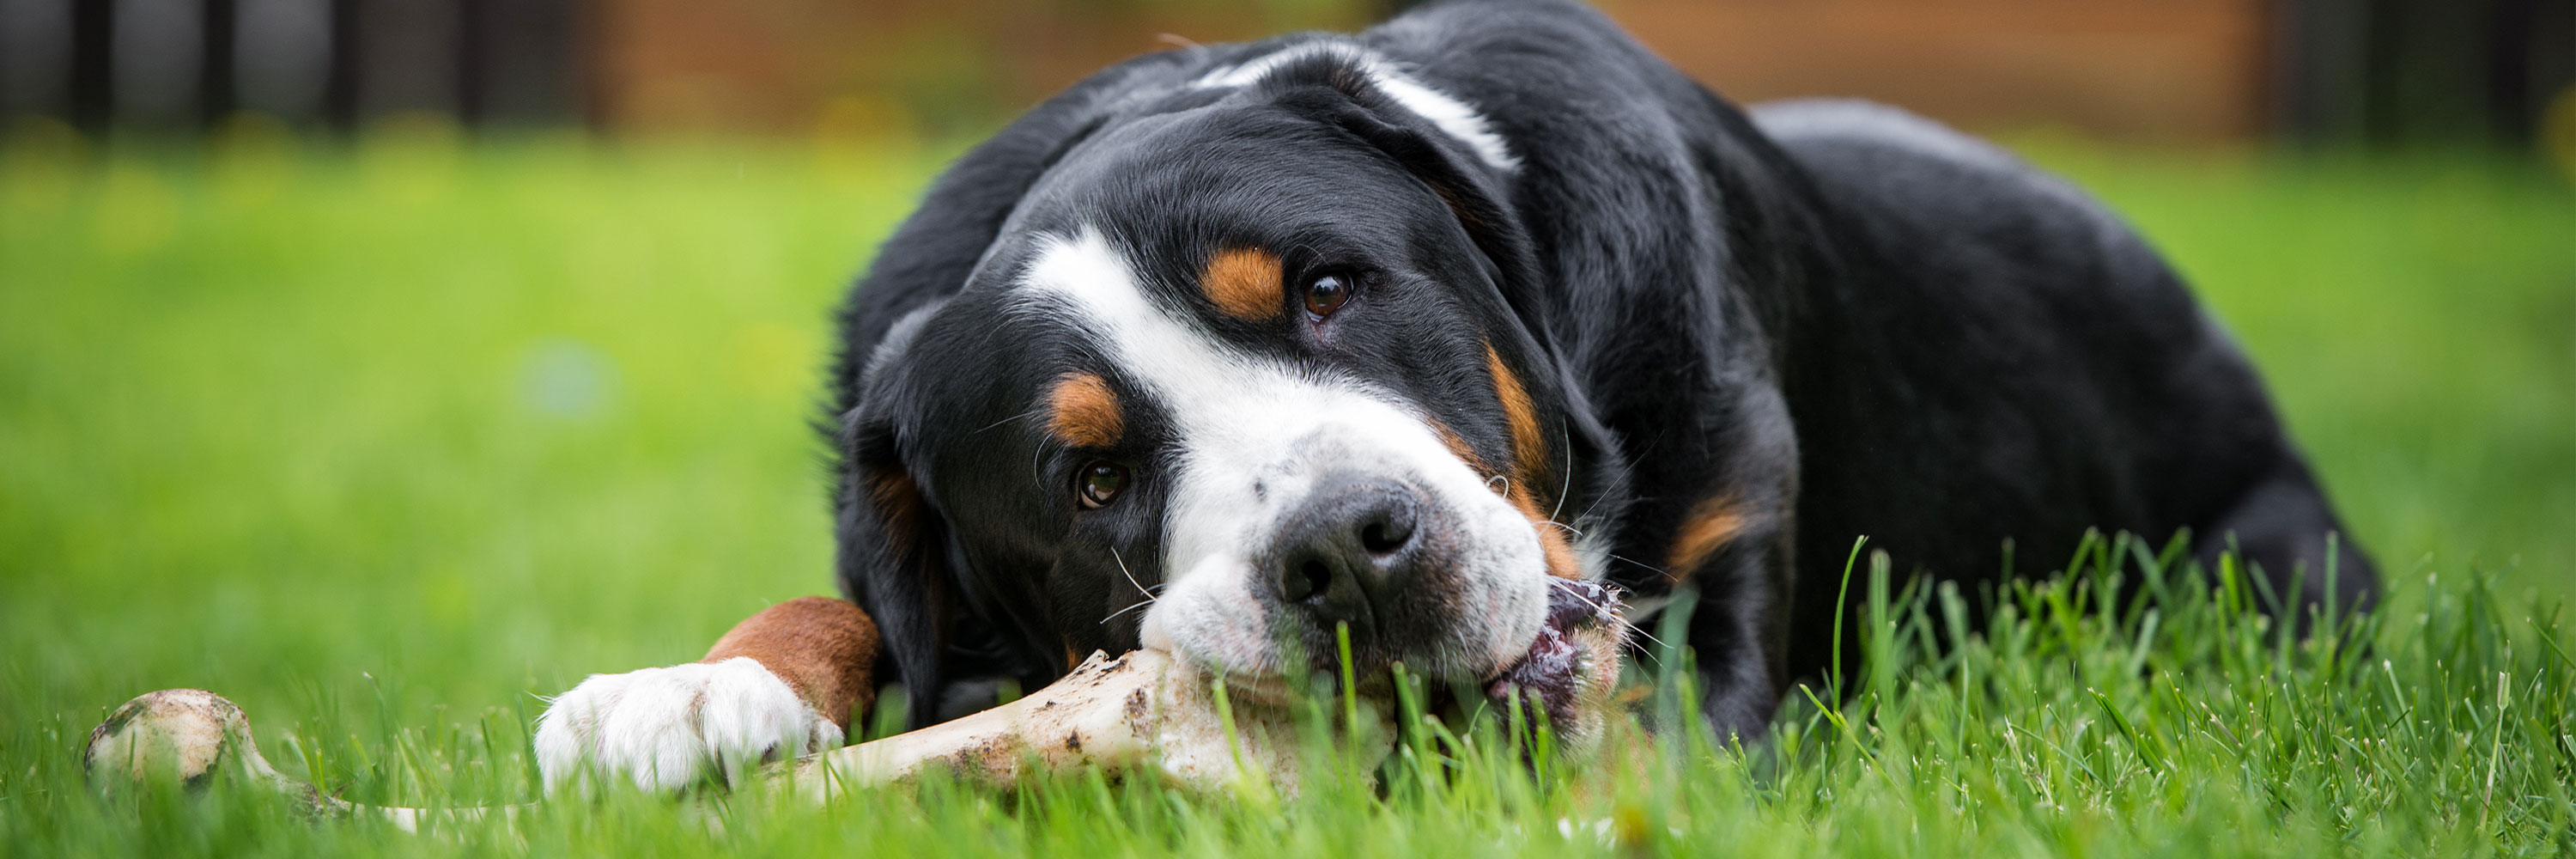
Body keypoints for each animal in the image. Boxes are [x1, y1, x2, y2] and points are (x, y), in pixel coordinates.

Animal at [523, 0, 2370, 789]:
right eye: (1092, 482)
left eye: (1331, 289)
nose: (1348, 549)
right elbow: (841, 605)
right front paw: (690, 689)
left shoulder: (1709, 609)